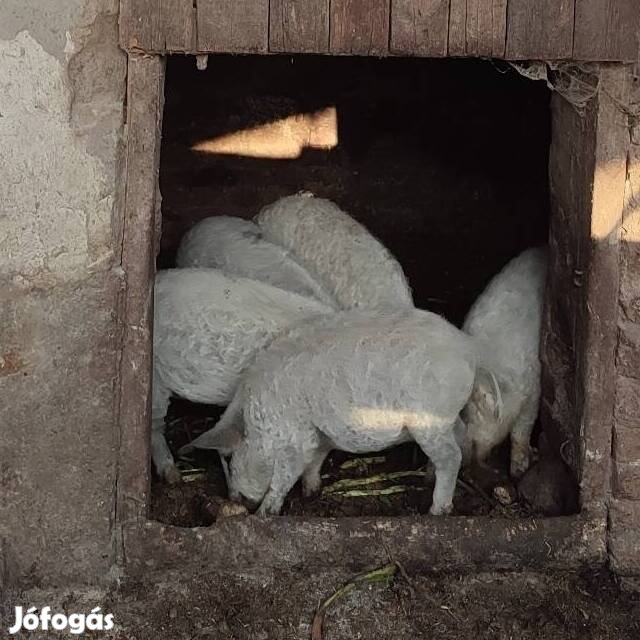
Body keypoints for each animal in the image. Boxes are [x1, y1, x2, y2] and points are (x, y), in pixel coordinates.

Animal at [178, 308, 482, 516]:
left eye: (230, 460)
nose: (237, 500)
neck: (256, 417)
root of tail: (467, 349)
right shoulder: (318, 433)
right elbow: (315, 460)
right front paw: (311, 492)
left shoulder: (293, 436)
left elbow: (285, 475)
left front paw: (264, 513)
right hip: (446, 419)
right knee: (462, 436)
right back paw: (438, 473)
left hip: (429, 421)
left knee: (450, 456)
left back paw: (436, 510)